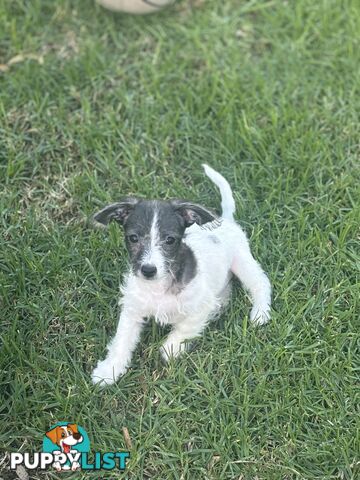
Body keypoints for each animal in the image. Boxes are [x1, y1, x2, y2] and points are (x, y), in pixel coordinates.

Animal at [91, 165, 272, 386]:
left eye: (170, 240)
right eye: (133, 238)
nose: (148, 270)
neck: (159, 287)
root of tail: (226, 220)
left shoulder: (201, 306)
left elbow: (185, 327)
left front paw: (170, 349)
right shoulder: (132, 309)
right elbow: (122, 341)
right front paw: (109, 370)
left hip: (242, 262)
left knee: (261, 283)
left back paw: (260, 313)